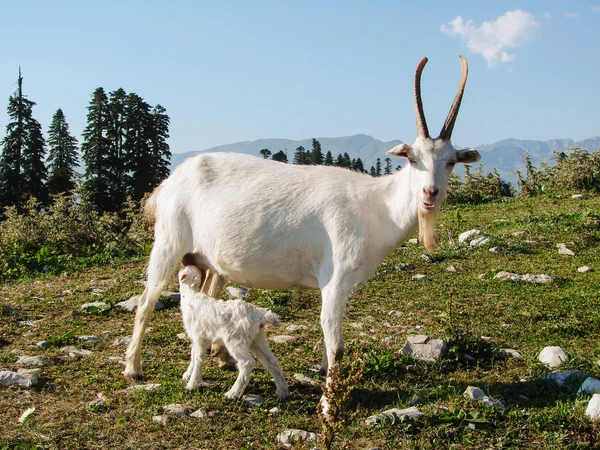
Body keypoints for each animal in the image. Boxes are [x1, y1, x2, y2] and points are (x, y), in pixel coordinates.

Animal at [124, 55, 480, 404]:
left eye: (451, 161)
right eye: (412, 158)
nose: (429, 193)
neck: (375, 205)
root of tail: (168, 184)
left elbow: (329, 337)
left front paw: (324, 375)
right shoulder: (334, 278)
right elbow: (335, 342)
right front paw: (328, 402)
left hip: (206, 259)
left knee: (208, 295)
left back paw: (219, 358)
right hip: (169, 241)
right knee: (146, 301)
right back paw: (134, 368)